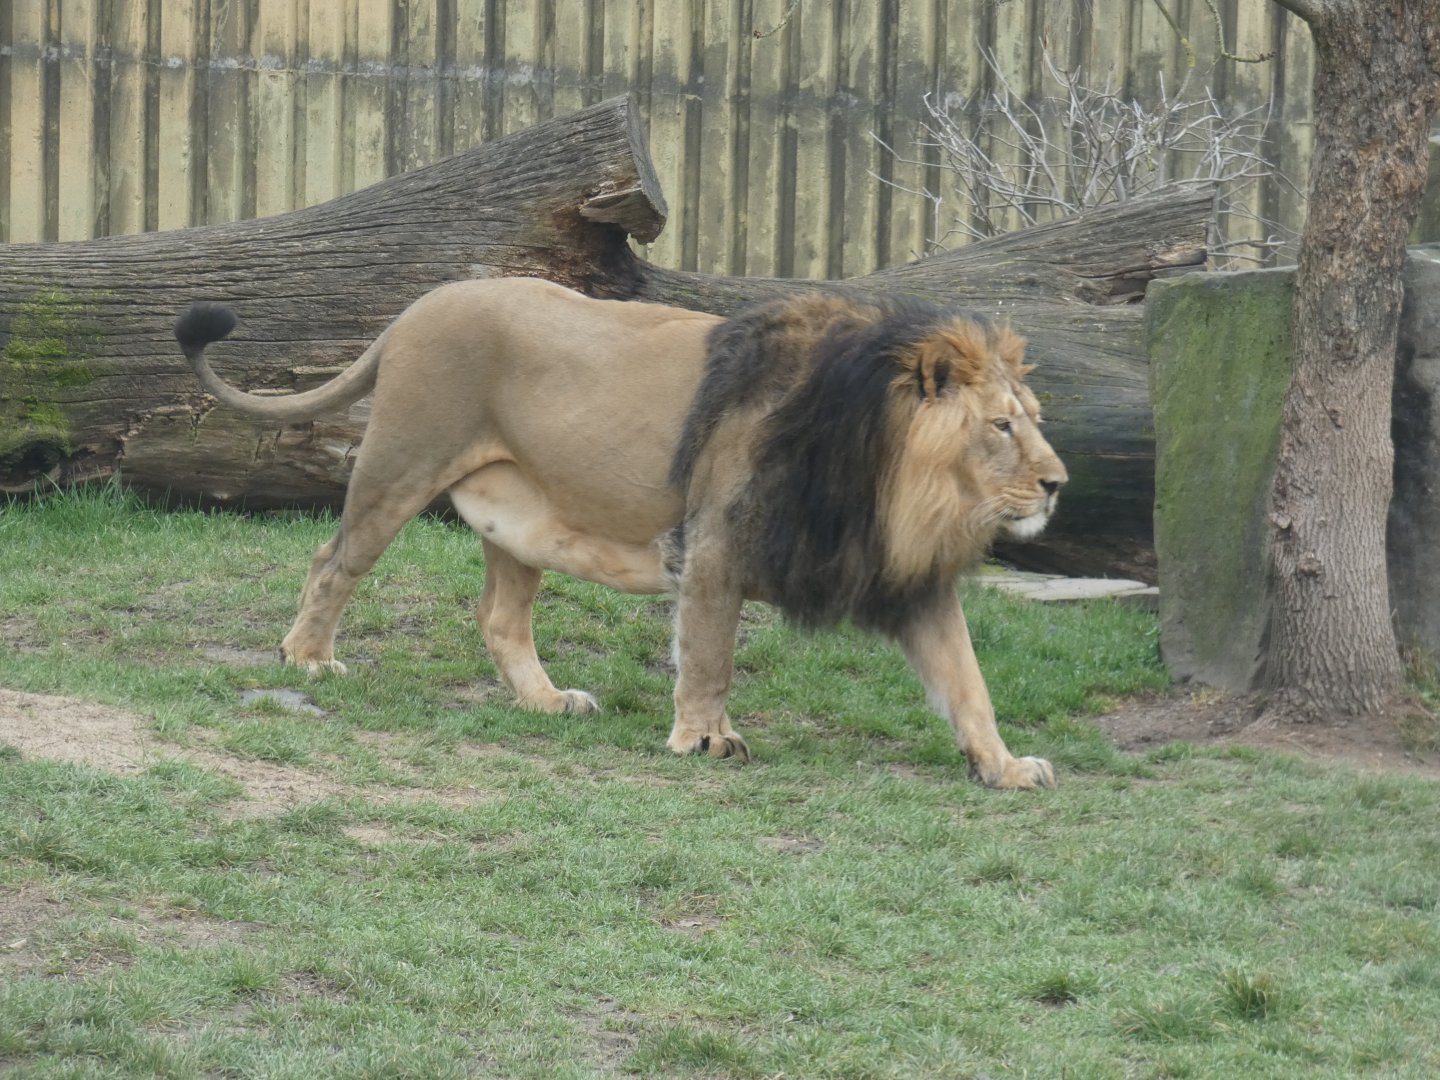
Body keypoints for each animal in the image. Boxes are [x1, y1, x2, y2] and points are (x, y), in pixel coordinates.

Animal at [175, 277, 1067, 789]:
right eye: (1000, 426)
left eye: (1033, 419)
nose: (1058, 484)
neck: (892, 480)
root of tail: (416, 307)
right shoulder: (714, 546)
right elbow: (708, 656)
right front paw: (705, 740)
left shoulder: (909, 579)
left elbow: (967, 682)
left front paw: (1004, 766)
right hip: (400, 463)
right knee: (333, 560)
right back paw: (307, 658)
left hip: (517, 518)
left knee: (500, 617)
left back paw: (546, 701)